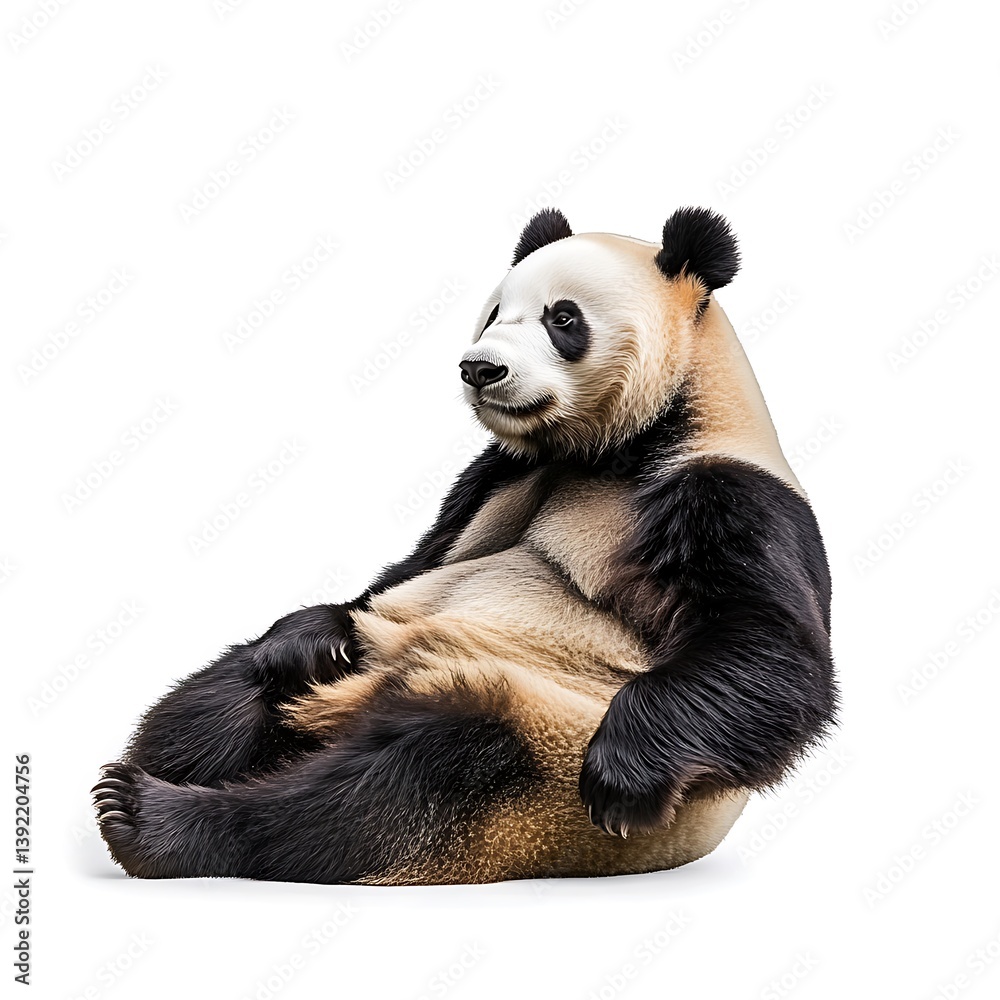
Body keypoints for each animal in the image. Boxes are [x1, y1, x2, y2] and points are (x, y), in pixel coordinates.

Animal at [93, 207, 837, 885]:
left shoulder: (726, 495)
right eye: (493, 314)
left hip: (538, 755)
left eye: (562, 319)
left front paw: (624, 777)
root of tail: (351, 707)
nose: (480, 368)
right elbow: (409, 568)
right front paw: (314, 632)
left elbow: (768, 652)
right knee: (229, 691)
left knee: (396, 785)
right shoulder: (496, 477)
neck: (616, 446)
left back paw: (157, 819)